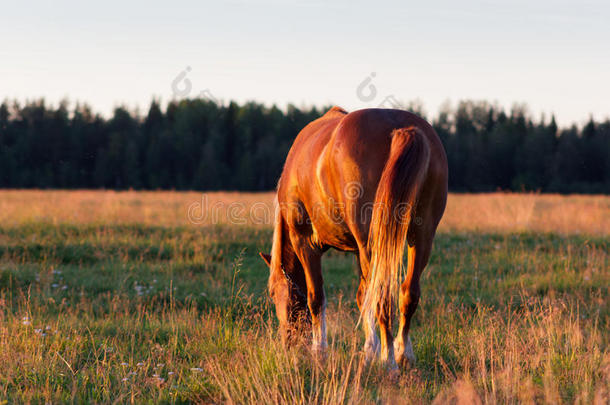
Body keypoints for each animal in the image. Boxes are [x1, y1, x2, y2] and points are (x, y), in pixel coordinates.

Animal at [258, 105, 446, 368]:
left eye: (273, 293)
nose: (288, 342)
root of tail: (400, 127)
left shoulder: (304, 242)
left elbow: (316, 298)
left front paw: (320, 351)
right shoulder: (360, 250)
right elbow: (362, 296)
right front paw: (370, 349)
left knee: (382, 297)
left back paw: (388, 362)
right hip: (421, 239)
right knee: (407, 293)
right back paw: (402, 354)